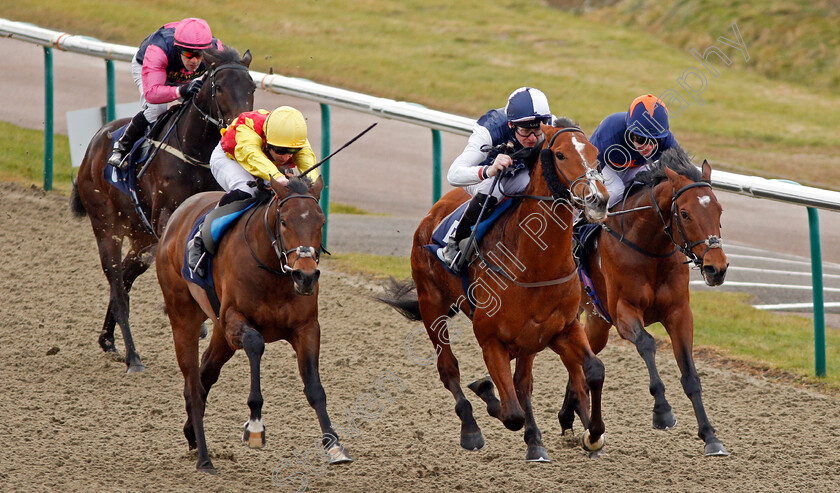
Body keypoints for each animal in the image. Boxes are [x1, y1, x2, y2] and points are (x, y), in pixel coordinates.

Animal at [69, 47, 254, 372]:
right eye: (219, 87)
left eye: (252, 87)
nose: (239, 126)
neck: (194, 154)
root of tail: (96, 141)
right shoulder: (166, 219)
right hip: (106, 226)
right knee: (118, 286)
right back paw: (132, 356)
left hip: (138, 233)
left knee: (126, 276)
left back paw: (108, 339)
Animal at [156, 177, 350, 472]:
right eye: (284, 221)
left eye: (322, 221)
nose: (305, 276)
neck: (273, 271)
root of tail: (179, 212)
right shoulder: (234, 319)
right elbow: (255, 344)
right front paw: (256, 425)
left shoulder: (306, 328)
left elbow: (315, 387)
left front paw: (334, 444)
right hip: (183, 317)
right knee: (193, 380)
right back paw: (204, 458)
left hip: (220, 334)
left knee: (204, 374)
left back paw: (192, 435)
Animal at [380, 121, 612, 460]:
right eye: (560, 154)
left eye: (595, 154)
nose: (598, 200)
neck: (535, 265)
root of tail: (434, 212)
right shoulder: (491, 340)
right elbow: (511, 412)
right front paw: (487, 391)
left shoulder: (562, 328)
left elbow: (593, 369)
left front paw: (592, 434)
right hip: (431, 305)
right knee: (448, 369)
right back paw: (471, 428)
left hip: (530, 339)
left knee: (522, 383)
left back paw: (535, 441)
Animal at [564, 147, 728, 458]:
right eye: (685, 213)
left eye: (719, 210)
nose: (717, 268)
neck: (649, 248)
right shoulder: (624, 312)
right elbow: (647, 343)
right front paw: (662, 411)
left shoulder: (679, 313)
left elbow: (690, 374)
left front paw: (711, 436)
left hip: (596, 320)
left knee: (585, 354)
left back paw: (570, 418)